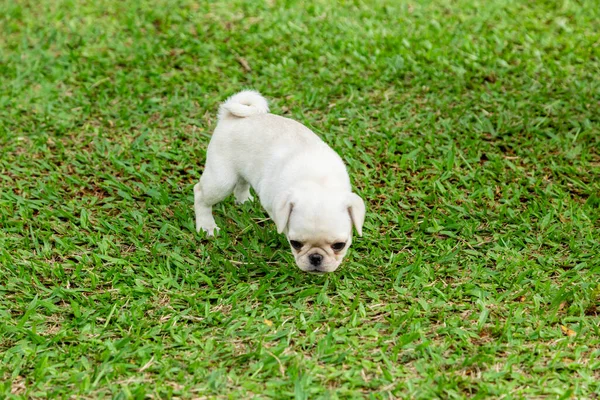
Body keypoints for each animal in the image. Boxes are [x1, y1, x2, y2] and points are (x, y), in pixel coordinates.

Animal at [196, 90, 366, 272]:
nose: (315, 258)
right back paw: (206, 226)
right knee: (200, 194)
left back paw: (244, 201)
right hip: (221, 181)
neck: (317, 183)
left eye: (339, 245)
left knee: (242, 182)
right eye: (295, 244)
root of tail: (229, 117)